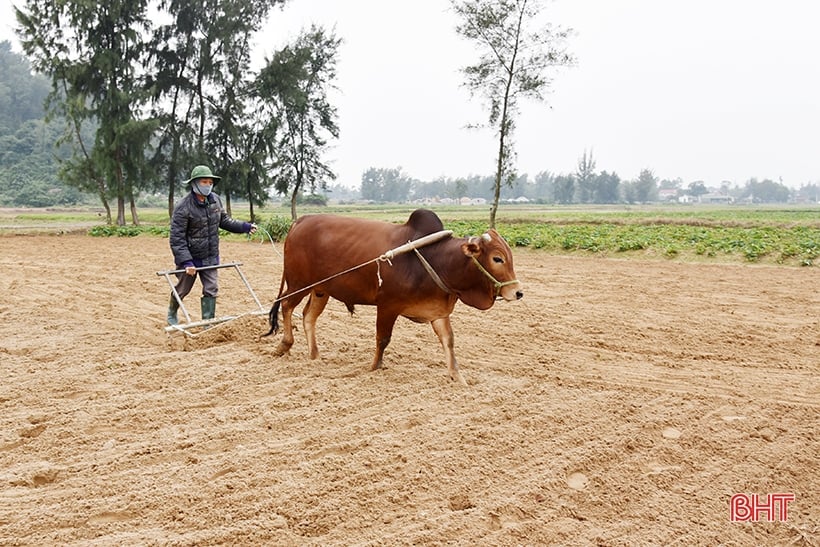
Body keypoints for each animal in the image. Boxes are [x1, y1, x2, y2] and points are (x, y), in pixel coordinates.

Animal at [262, 209, 524, 386]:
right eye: (497, 258)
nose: (517, 292)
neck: (435, 260)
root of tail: (300, 221)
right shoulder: (387, 306)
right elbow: (382, 339)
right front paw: (374, 368)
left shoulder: (437, 311)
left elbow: (448, 341)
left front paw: (459, 379)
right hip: (299, 284)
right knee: (286, 306)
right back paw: (284, 345)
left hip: (320, 290)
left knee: (308, 316)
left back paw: (315, 355)